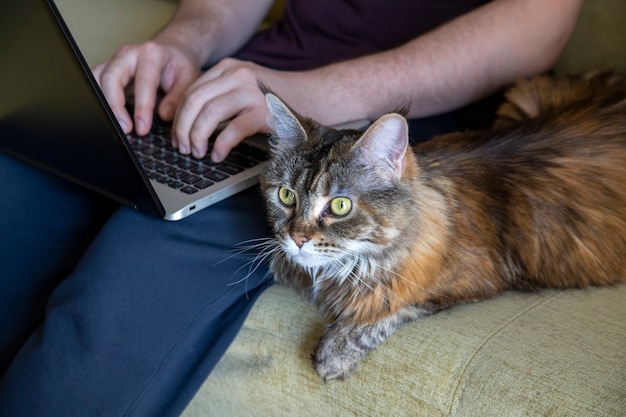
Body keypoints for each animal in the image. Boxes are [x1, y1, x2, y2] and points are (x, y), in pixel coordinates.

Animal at [256, 70, 624, 382]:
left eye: (340, 206)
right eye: (286, 196)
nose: (297, 238)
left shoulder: (474, 283)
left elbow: (389, 309)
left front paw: (336, 349)